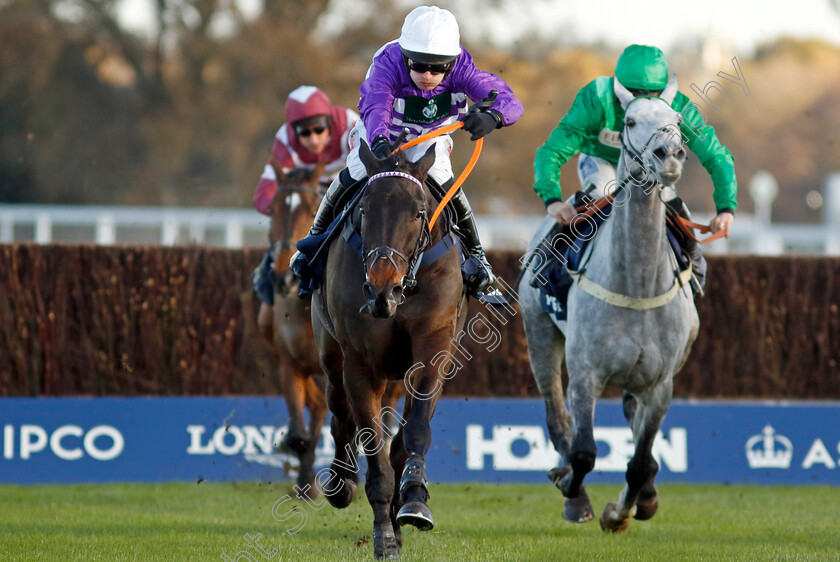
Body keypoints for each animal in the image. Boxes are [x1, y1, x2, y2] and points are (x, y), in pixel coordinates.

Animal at [310, 142, 466, 556]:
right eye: (364, 210)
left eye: (419, 212)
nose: (382, 288)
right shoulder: (360, 363)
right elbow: (374, 453)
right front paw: (383, 538)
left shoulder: (434, 347)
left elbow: (413, 434)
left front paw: (414, 501)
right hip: (331, 355)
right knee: (340, 417)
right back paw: (340, 484)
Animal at [520, 77, 704, 528]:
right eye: (631, 120)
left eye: (677, 120)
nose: (669, 155)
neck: (636, 283)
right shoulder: (585, 373)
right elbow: (584, 451)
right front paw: (571, 487)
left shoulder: (661, 384)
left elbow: (639, 459)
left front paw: (623, 510)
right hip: (539, 334)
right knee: (556, 417)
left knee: (634, 427)